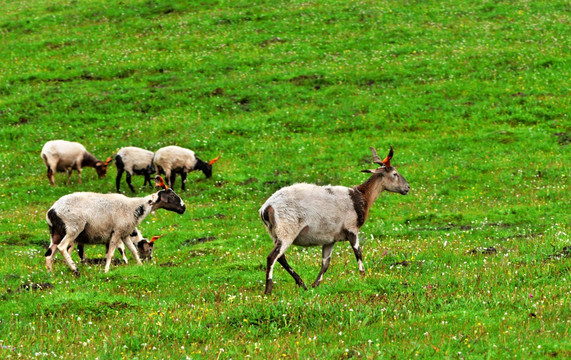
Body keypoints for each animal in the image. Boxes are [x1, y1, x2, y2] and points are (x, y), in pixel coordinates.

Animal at [47, 176, 185, 274]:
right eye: (172, 195)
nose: (183, 208)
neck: (136, 208)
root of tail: (52, 211)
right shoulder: (117, 232)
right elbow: (111, 253)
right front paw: (106, 270)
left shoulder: (125, 234)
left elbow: (133, 251)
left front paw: (140, 266)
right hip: (73, 228)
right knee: (62, 248)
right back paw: (75, 270)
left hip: (56, 233)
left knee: (49, 253)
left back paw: (50, 274)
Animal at [260, 146, 412, 296]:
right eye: (395, 174)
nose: (407, 188)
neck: (360, 197)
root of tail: (267, 208)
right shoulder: (352, 229)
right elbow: (358, 254)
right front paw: (363, 278)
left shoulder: (329, 239)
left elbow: (325, 263)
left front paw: (315, 284)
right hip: (286, 232)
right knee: (272, 257)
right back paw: (268, 290)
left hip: (275, 234)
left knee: (281, 258)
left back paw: (302, 283)